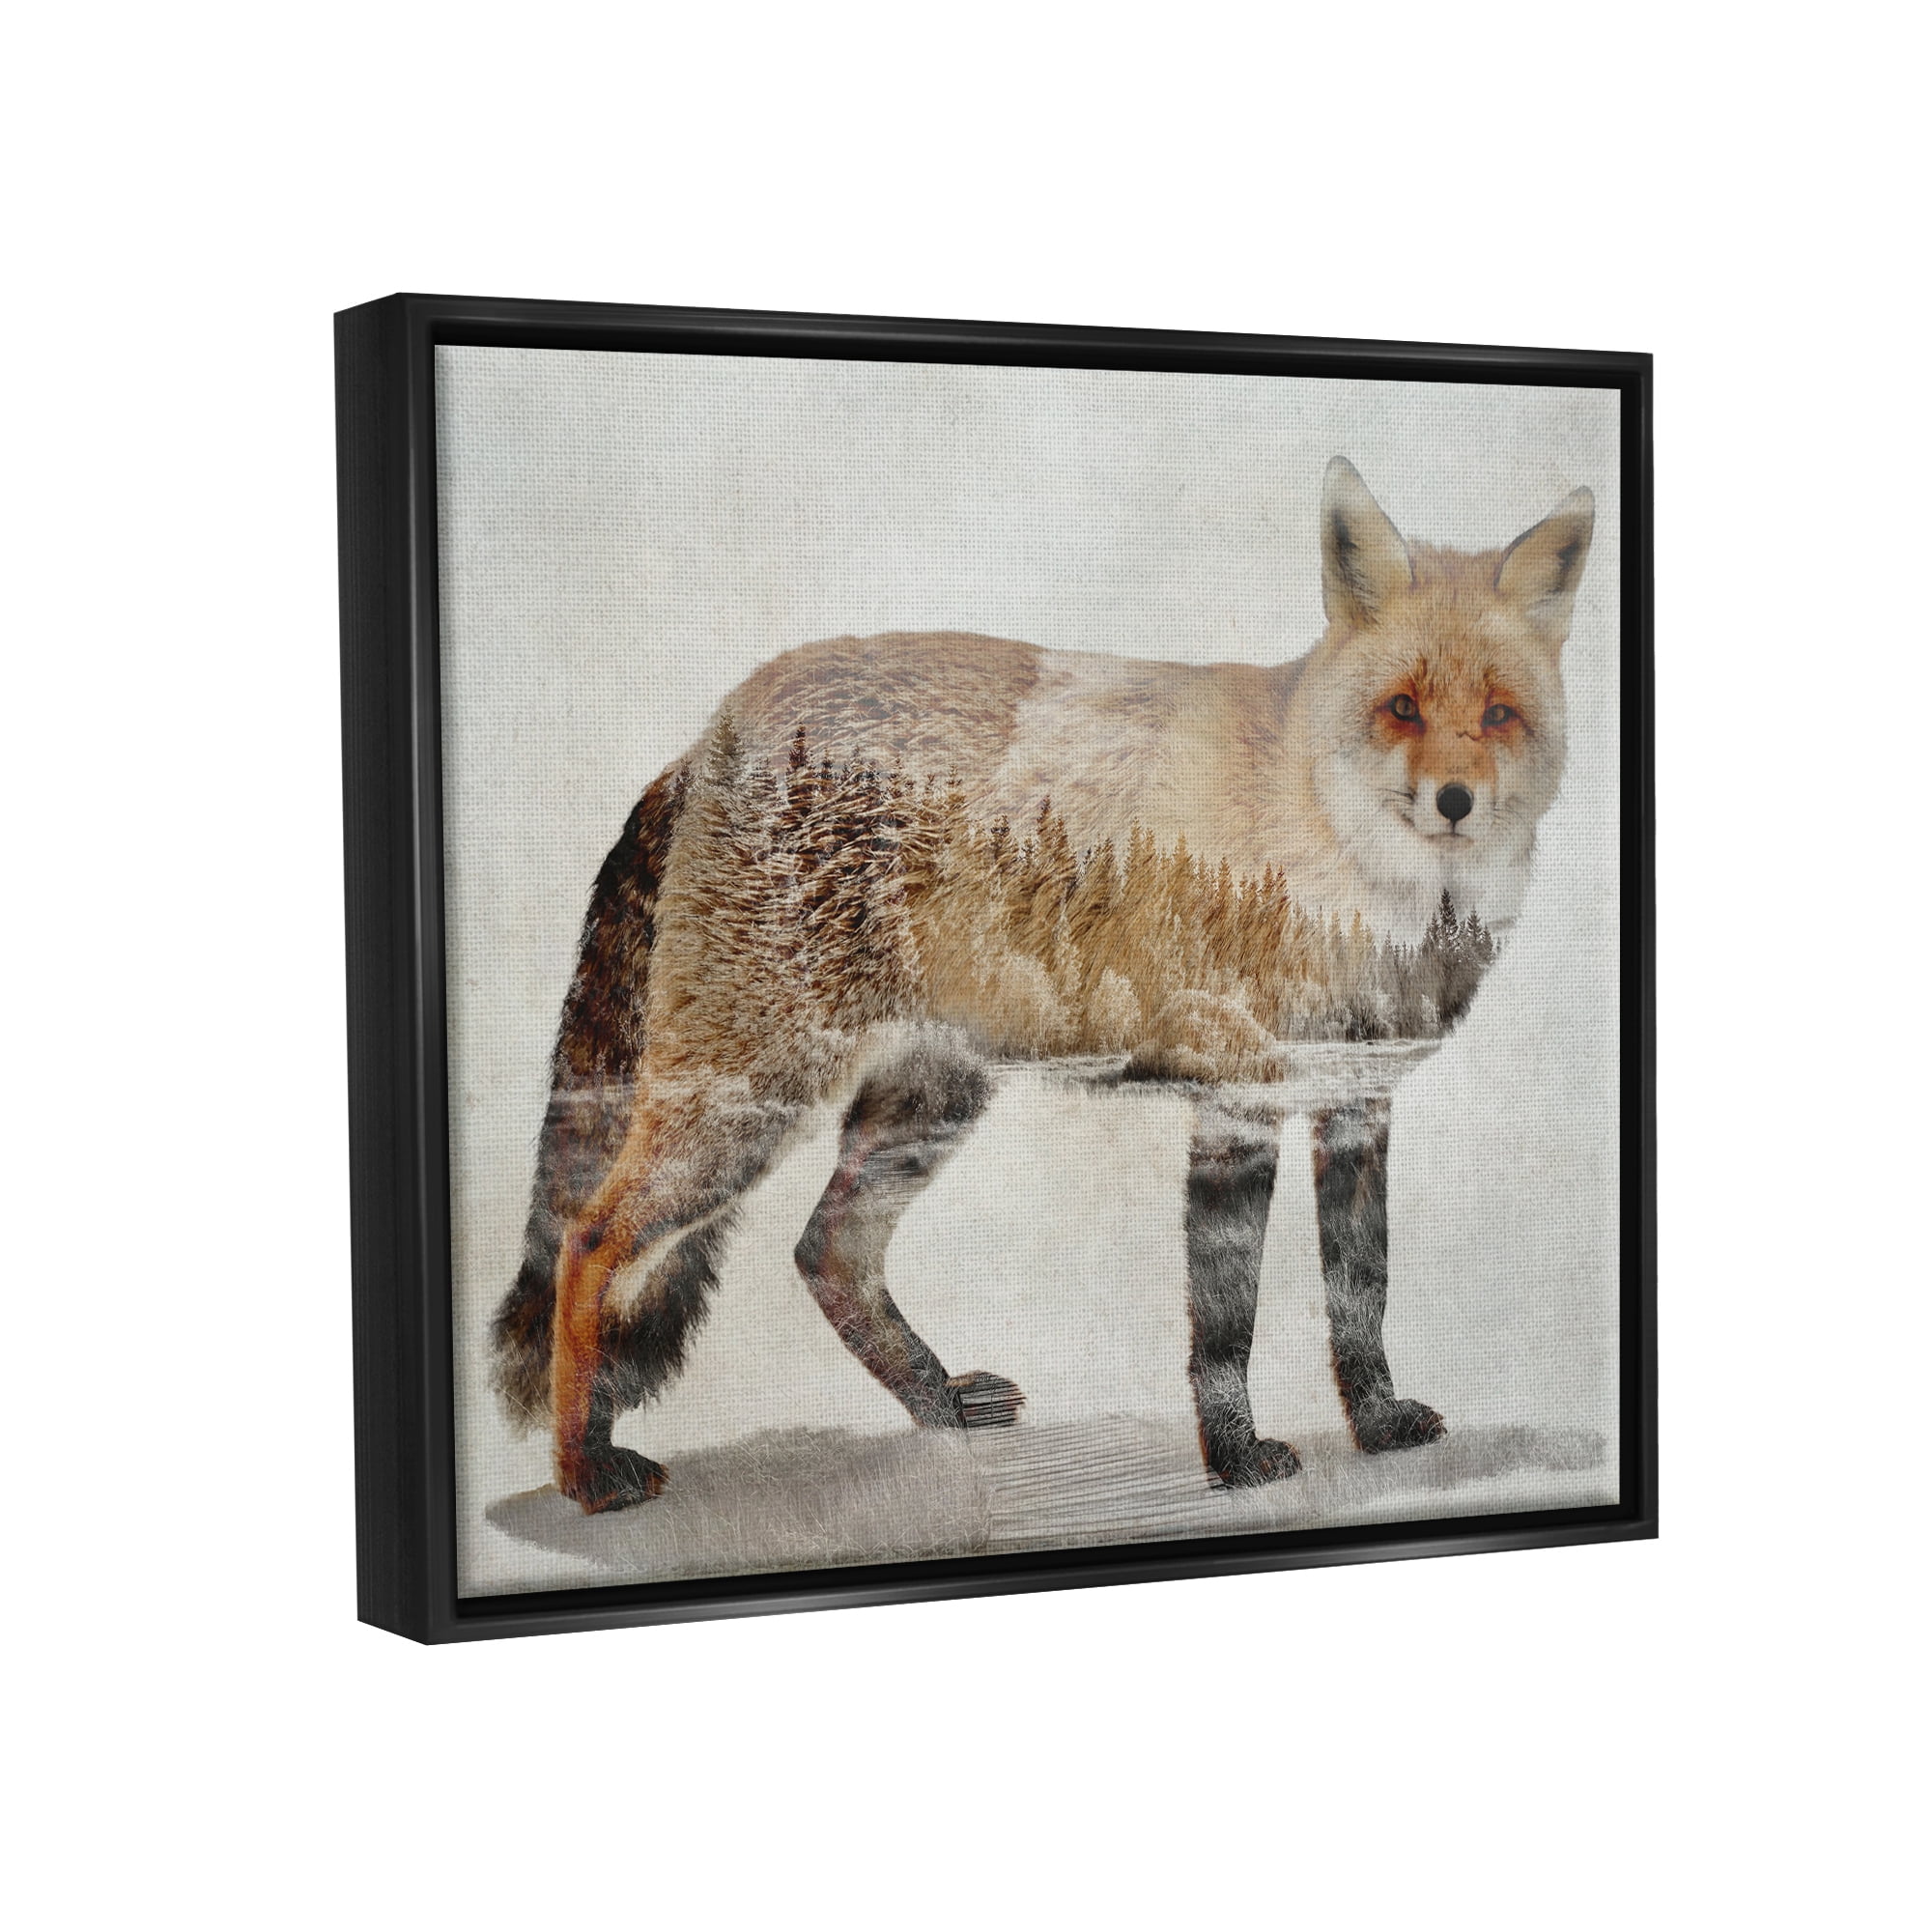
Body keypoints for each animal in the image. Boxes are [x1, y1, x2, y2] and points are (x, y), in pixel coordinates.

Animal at [491, 456, 1595, 1514]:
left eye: (1497, 714)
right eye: (1400, 708)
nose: (1454, 802)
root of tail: (716, 725)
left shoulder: (1356, 1101)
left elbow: (1360, 1294)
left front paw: (1374, 1429)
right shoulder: (1237, 1101)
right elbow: (1224, 1321)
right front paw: (1235, 1459)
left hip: (927, 1100)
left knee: (825, 1251)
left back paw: (935, 1405)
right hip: (751, 1100)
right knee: (590, 1239)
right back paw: (582, 1470)